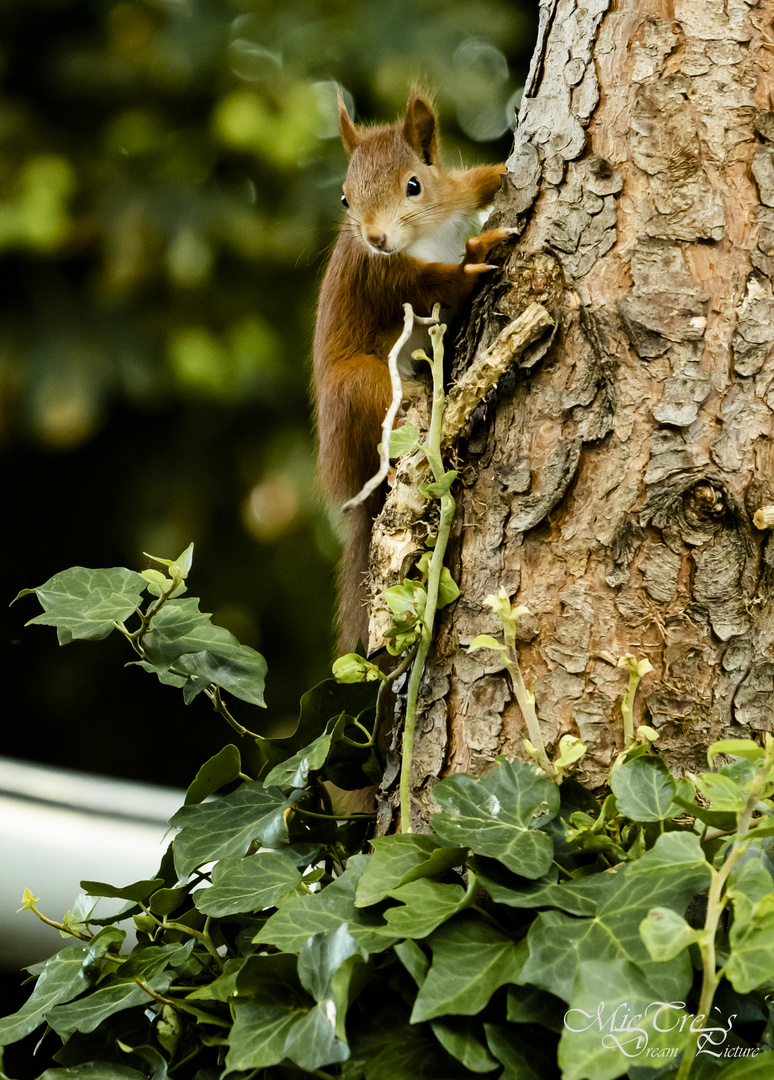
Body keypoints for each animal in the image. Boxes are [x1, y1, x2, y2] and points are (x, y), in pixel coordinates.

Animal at [313, 90, 513, 648]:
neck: (426, 234)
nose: (376, 238)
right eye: (344, 199)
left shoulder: (453, 196)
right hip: (363, 385)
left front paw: (503, 169)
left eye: (414, 184)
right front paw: (477, 256)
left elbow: (473, 183)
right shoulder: (386, 279)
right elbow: (441, 286)